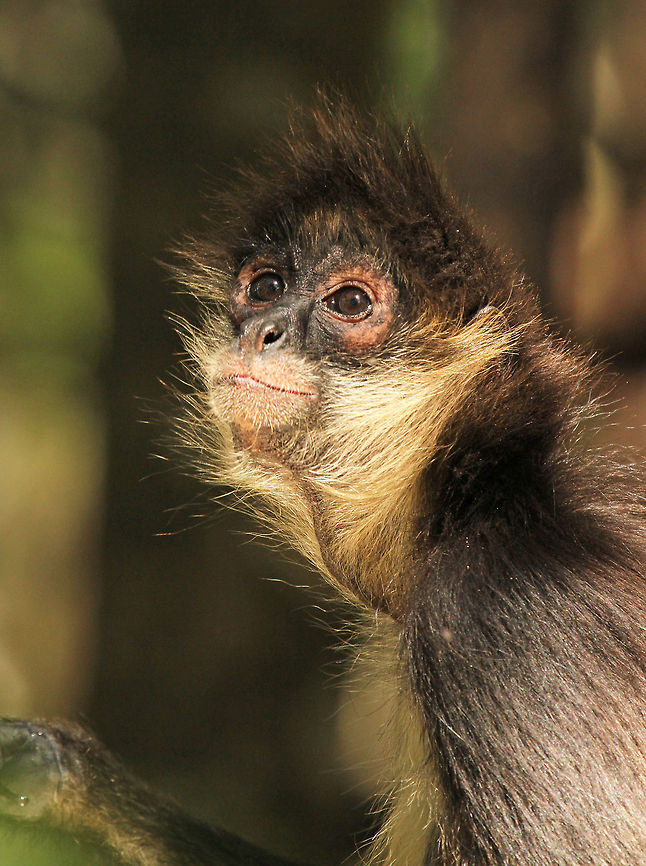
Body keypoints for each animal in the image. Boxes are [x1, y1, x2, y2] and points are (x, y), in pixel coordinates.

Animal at [1, 97, 646, 866]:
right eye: (265, 288)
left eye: (349, 302)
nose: (265, 331)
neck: (485, 497)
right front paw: (63, 780)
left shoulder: (506, 615)